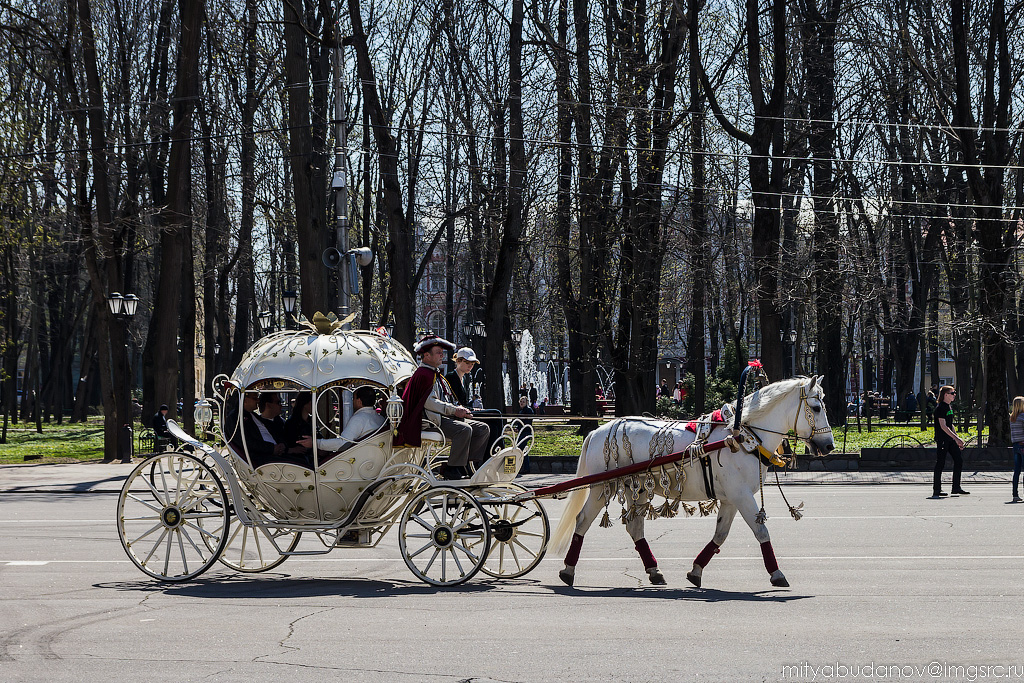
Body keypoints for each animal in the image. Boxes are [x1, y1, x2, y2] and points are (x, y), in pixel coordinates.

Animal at [552, 374, 831, 589]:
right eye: (816, 408)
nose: (829, 446)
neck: (743, 437)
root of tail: (597, 431)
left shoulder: (731, 499)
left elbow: (720, 535)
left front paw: (696, 570)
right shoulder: (741, 495)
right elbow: (761, 531)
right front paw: (777, 573)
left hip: (637, 488)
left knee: (634, 527)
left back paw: (654, 571)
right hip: (603, 487)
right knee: (583, 520)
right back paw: (568, 570)